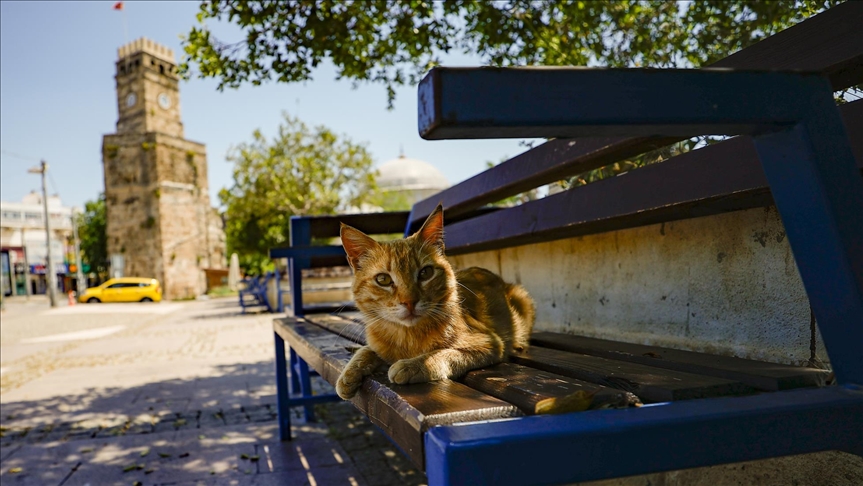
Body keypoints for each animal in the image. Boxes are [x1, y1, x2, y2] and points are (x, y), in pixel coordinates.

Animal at [336, 203, 532, 400]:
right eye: (383, 279)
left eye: (425, 273)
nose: (409, 302)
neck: (407, 336)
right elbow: (367, 350)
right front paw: (349, 372)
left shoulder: (490, 343)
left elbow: (446, 354)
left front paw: (413, 365)